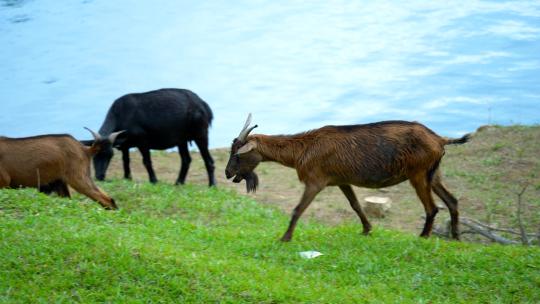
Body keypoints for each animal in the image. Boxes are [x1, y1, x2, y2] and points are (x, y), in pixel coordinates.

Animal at [224, 114, 468, 242]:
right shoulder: (341, 180)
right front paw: (367, 229)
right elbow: (356, 205)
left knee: (432, 208)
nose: (227, 173)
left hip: (418, 173)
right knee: (452, 201)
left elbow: (297, 209)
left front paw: (285, 238)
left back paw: (423, 236)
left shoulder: (315, 181)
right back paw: (456, 237)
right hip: (433, 173)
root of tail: (440, 139)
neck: (302, 150)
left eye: (237, 154)